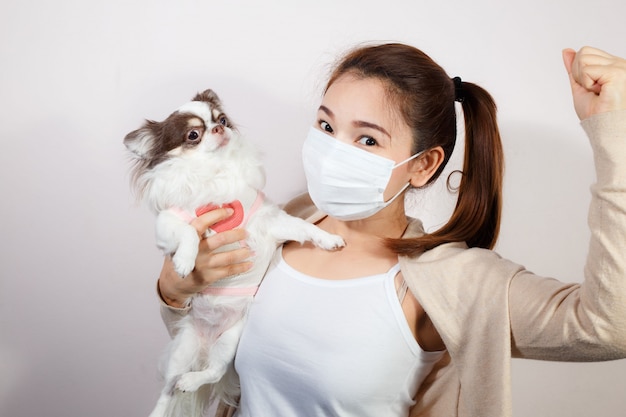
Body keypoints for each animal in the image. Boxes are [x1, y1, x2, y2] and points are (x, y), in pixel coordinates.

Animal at [123, 89, 344, 414]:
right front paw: (186, 261)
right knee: (167, 390)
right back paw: (161, 407)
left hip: (231, 340)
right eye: (193, 135)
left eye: (223, 119)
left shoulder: (270, 222)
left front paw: (328, 239)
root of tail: (205, 344)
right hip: (182, 350)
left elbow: (303, 228)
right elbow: (189, 231)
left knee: (211, 372)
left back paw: (191, 381)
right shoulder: (166, 226)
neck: (215, 173)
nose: (218, 128)